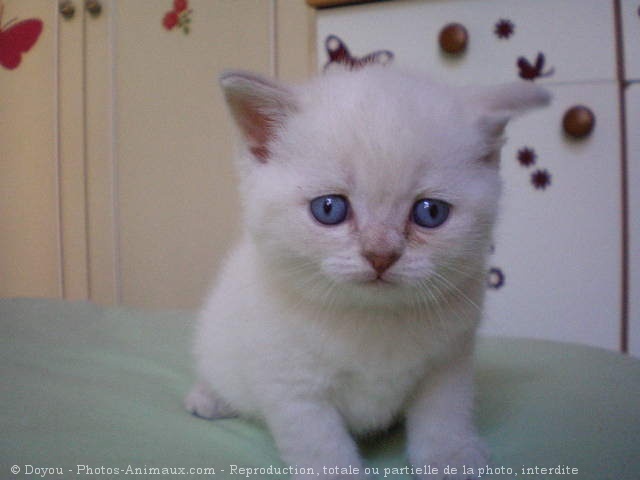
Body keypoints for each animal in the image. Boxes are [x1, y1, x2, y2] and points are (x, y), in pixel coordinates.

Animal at [186, 64, 552, 480]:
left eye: (431, 212)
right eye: (329, 208)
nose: (380, 254)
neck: (372, 320)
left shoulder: (449, 362)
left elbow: (444, 414)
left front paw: (451, 457)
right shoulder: (293, 388)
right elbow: (321, 447)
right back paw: (209, 398)